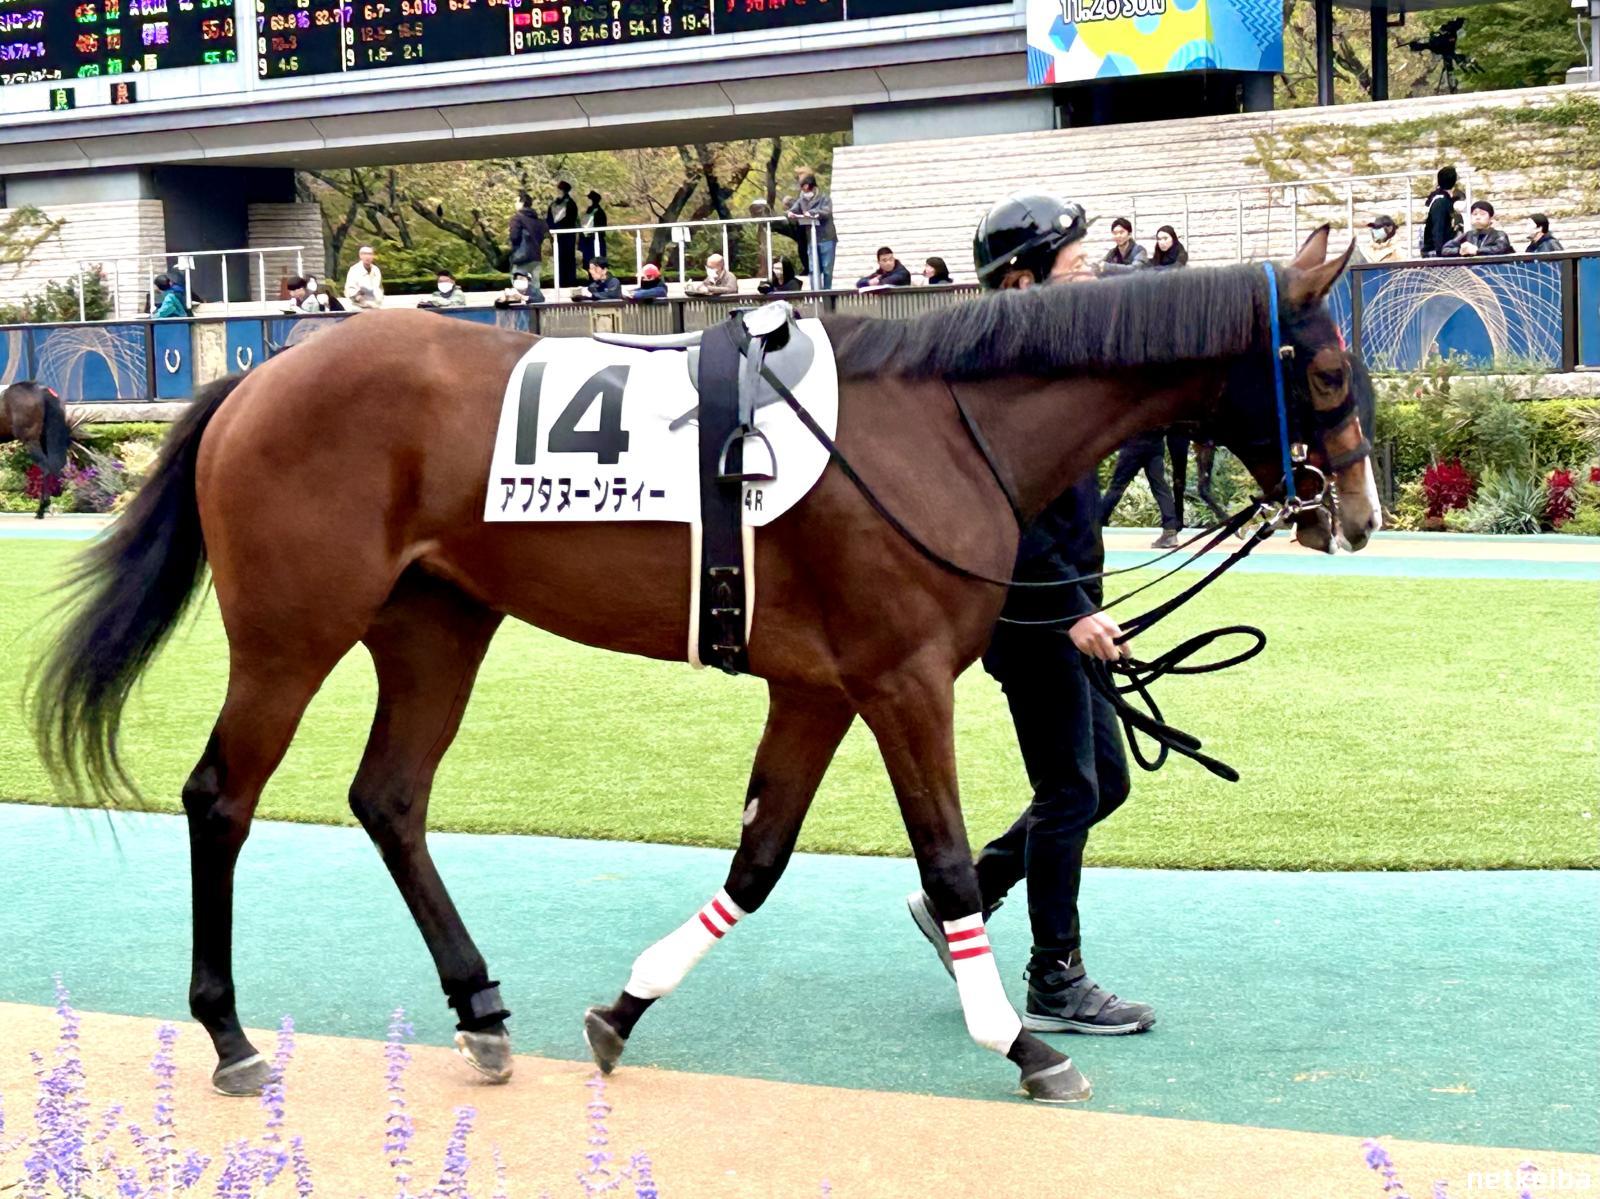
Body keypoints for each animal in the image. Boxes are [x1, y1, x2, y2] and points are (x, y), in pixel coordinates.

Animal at [31, 227, 1379, 1105]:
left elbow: (760, 858)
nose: (1357, 512)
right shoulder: (901, 680)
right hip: (291, 631)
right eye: (1323, 370)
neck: (940, 423)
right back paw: (228, 1032)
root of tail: (257, 370)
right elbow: (945, 863)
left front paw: (623, 1008)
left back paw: (479, 1006)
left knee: (391, 796)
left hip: (437, 622)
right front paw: (1020, 1042)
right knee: (223, 797)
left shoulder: (820, 686)